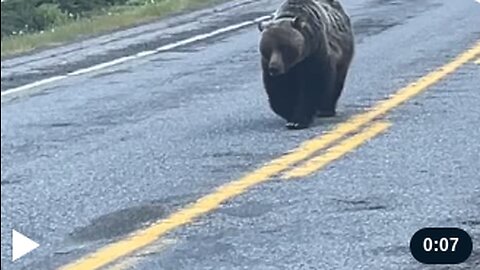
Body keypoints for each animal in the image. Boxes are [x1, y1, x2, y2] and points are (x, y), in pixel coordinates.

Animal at [256, 0, 354, 130]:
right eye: (267, 48)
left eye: (284, 47)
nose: (274, 68)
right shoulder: (274, 66)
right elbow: (278, 87)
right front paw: (288, 112)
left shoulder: (315, 53)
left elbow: (312, 84)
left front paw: (298, 120)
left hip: (343, 55)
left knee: (336, 82)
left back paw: (326, 110)